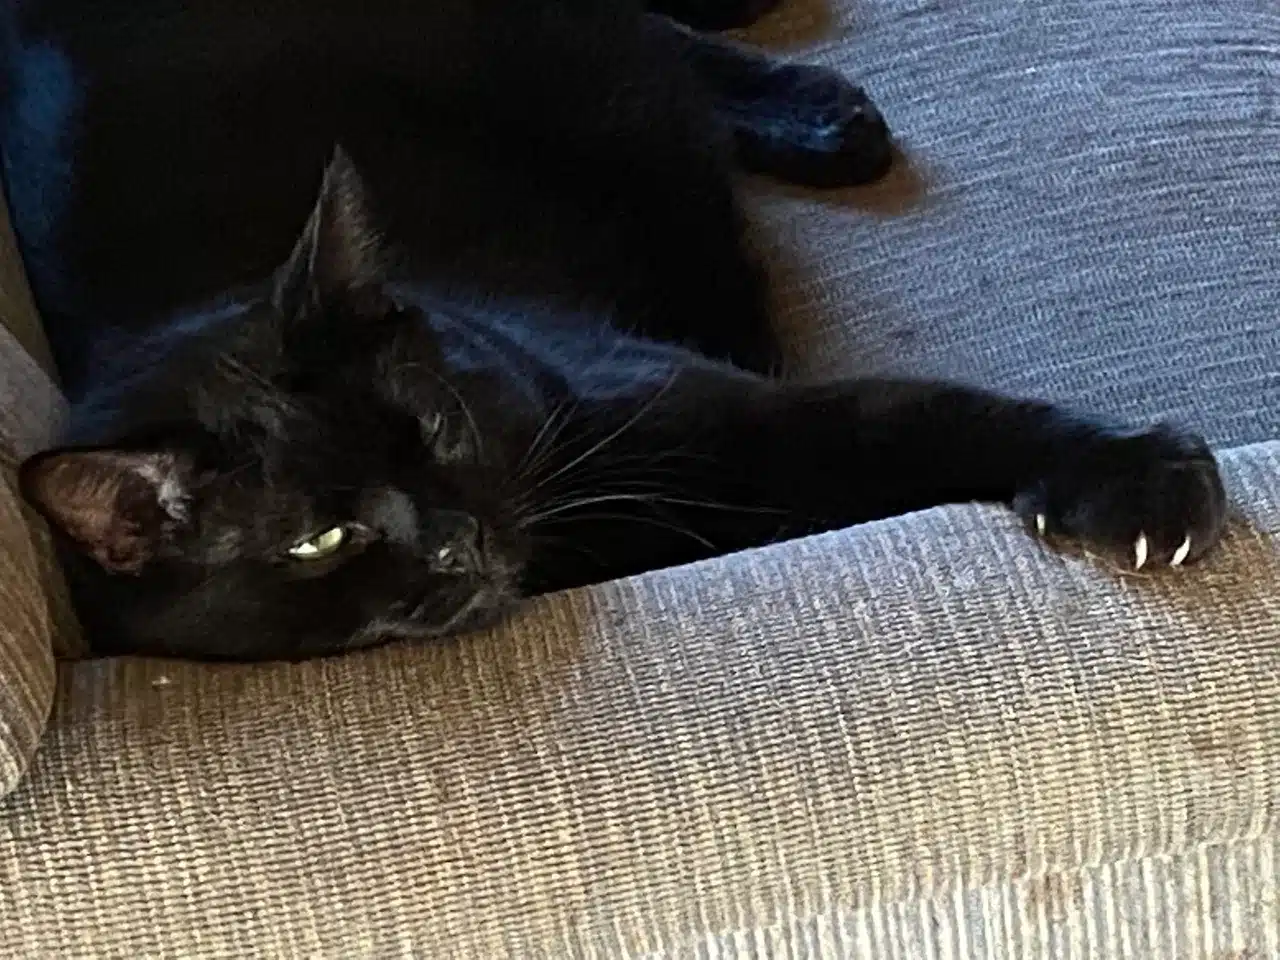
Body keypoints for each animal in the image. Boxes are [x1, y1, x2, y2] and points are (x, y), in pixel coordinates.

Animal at [2, 0, 1228, 660]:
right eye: (319, 540)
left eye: (434, 427)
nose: (453, 539)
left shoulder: (720, 416)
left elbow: (930, 417)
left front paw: (1134, 475)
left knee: (662, 44)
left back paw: (822, 116)